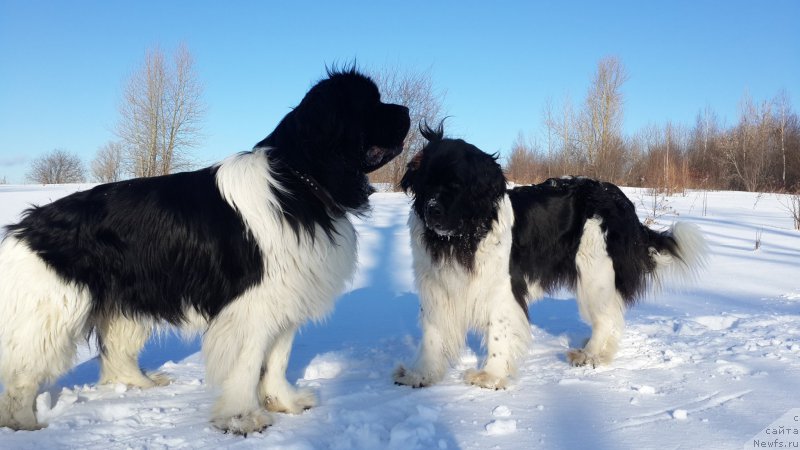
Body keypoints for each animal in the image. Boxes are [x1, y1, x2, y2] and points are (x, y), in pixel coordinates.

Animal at [0, 69, 410, 432]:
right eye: (370, 103)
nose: (407, 111)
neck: (298, 179)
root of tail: (24, 227)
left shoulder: (285, 299)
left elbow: (277, 360)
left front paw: (285, 403)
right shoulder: (251, 308)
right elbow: (248, 364)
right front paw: (243, 419)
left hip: (126, 301)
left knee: (117, 351)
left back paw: (143, 384)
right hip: (54, 312)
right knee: (23, 375)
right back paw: (26, 425)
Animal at [394, 125, 708, 390]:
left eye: (456, 185)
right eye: (426, 183)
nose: (432, 209)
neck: (460, 238)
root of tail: (623, 201)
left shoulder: (502, 288)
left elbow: (498, 332)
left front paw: (490, 376)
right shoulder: (436, 287)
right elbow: (432, 334)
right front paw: (420, 374)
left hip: (594, 271)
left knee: (607, 318)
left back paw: (590, 354)